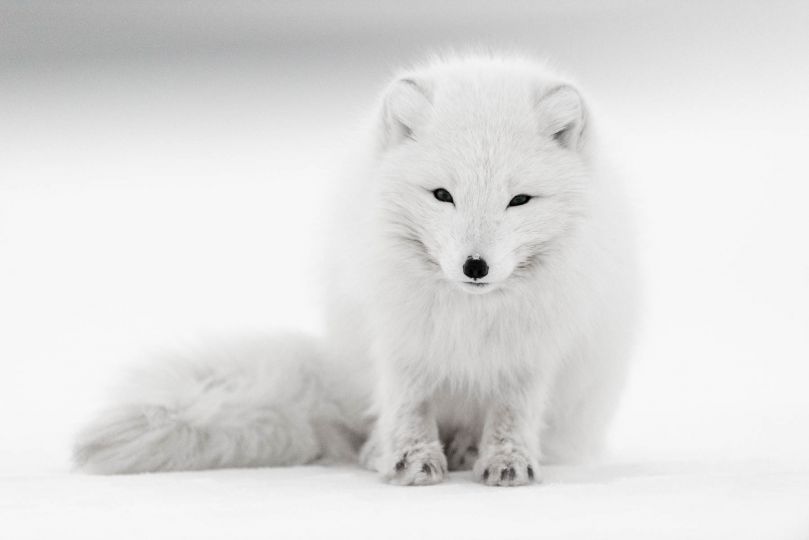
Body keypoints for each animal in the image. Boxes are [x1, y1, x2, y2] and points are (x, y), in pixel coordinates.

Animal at [74, 54, 637, 487]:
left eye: (519, 200)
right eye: (442, 195)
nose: (475, 266)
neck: (468, 315)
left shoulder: (532, 350)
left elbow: (511, 413)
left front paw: (507, 461)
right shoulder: (400, 338)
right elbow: (408, 405)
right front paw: (410, 459)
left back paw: (465, 450)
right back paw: (383, 451)